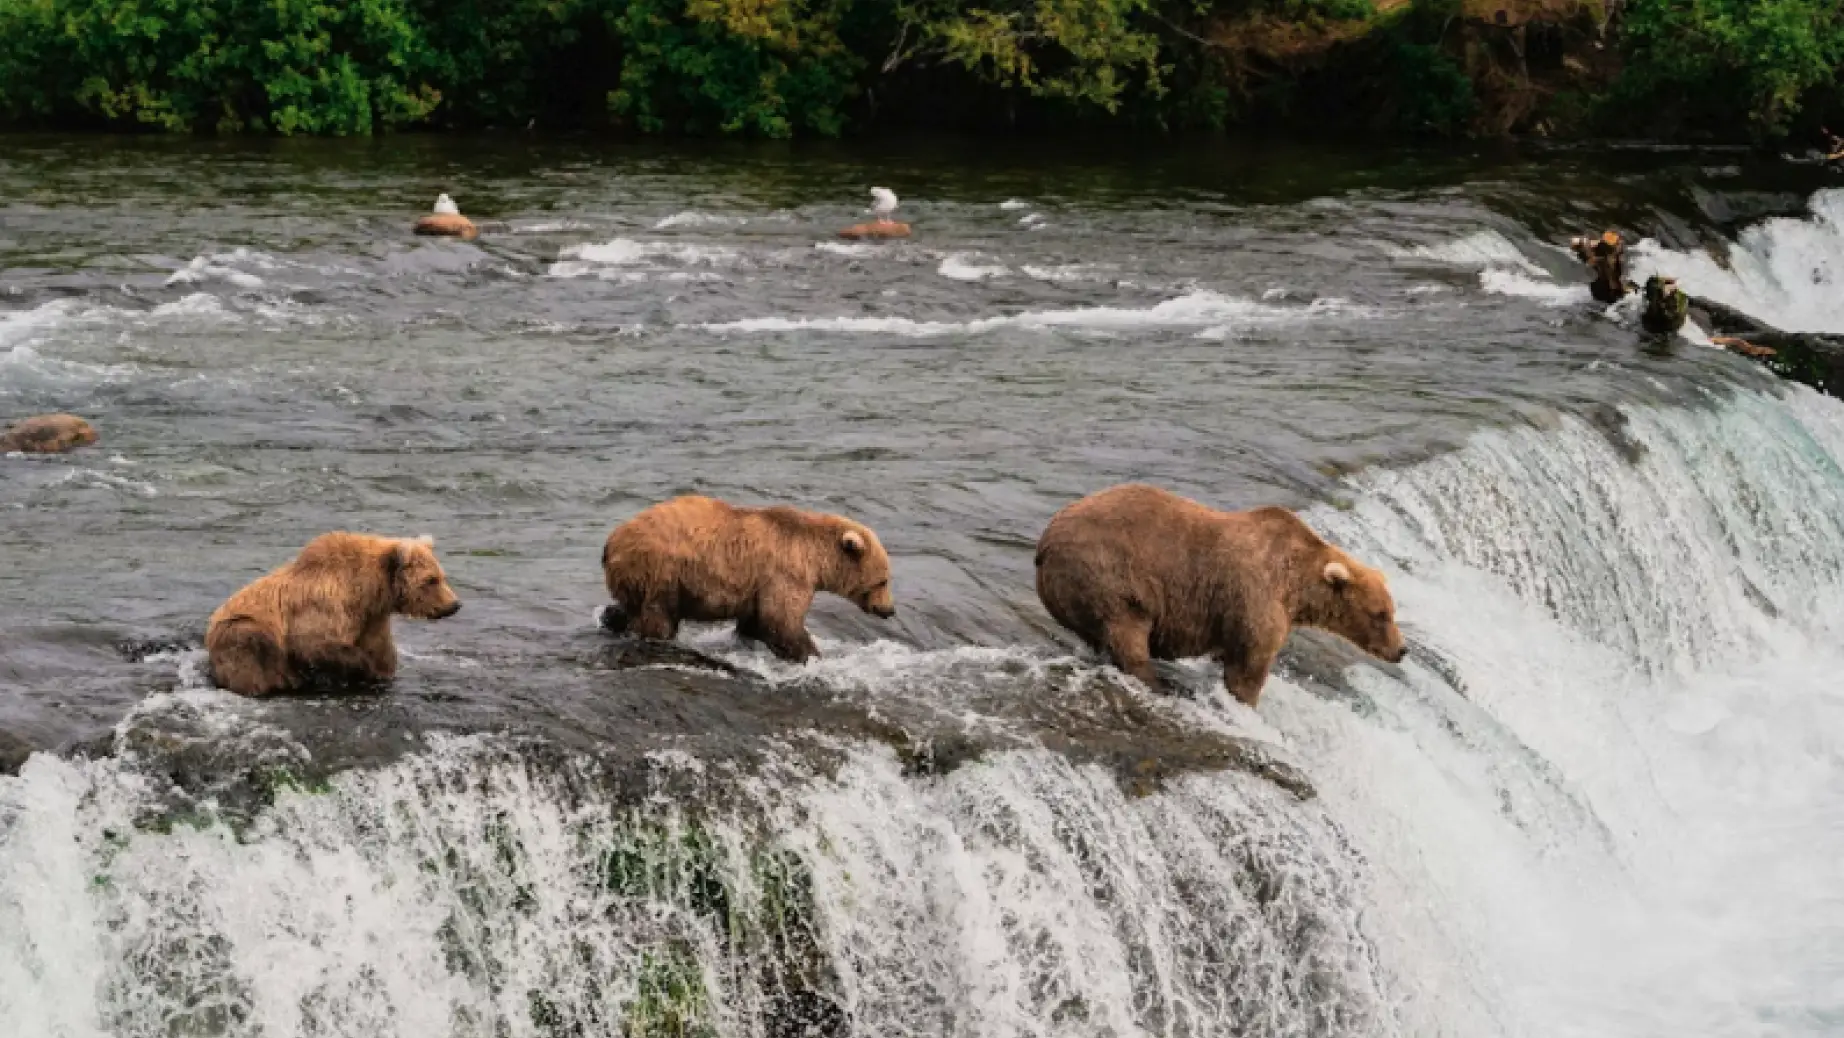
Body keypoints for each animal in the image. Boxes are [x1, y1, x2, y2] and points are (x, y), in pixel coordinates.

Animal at [205, 532, 462, 697]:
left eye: (442, 576)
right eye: (431, 580)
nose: (455, 604)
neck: (368, 591)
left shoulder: (371, 618)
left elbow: (381, 652)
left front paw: (380, 673)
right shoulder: (324, 604)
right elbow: (314, 642)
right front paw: (362, 668)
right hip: (239, 630)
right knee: (255, 647)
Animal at [600, 495, 895, 663]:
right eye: (883, 580)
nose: (889, 610)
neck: (814, 558)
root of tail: (612, 539)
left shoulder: (759, 586)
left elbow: (756, 621)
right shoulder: (785, 574)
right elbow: (781, 621)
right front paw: (811, 655)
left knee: (631, 607)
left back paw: (611, 618)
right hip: (662, 571)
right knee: (658, 616)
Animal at [1034, 484, 1405, 707]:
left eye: (1391, 611)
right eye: (1380, 614)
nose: (1401, 650)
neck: (1297, 588)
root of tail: (1044, 544)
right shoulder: (1256, 598)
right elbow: (1249, 667)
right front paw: (1246, 701)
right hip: (1109, 576)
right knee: (1127, 632)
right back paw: (1158, 683)